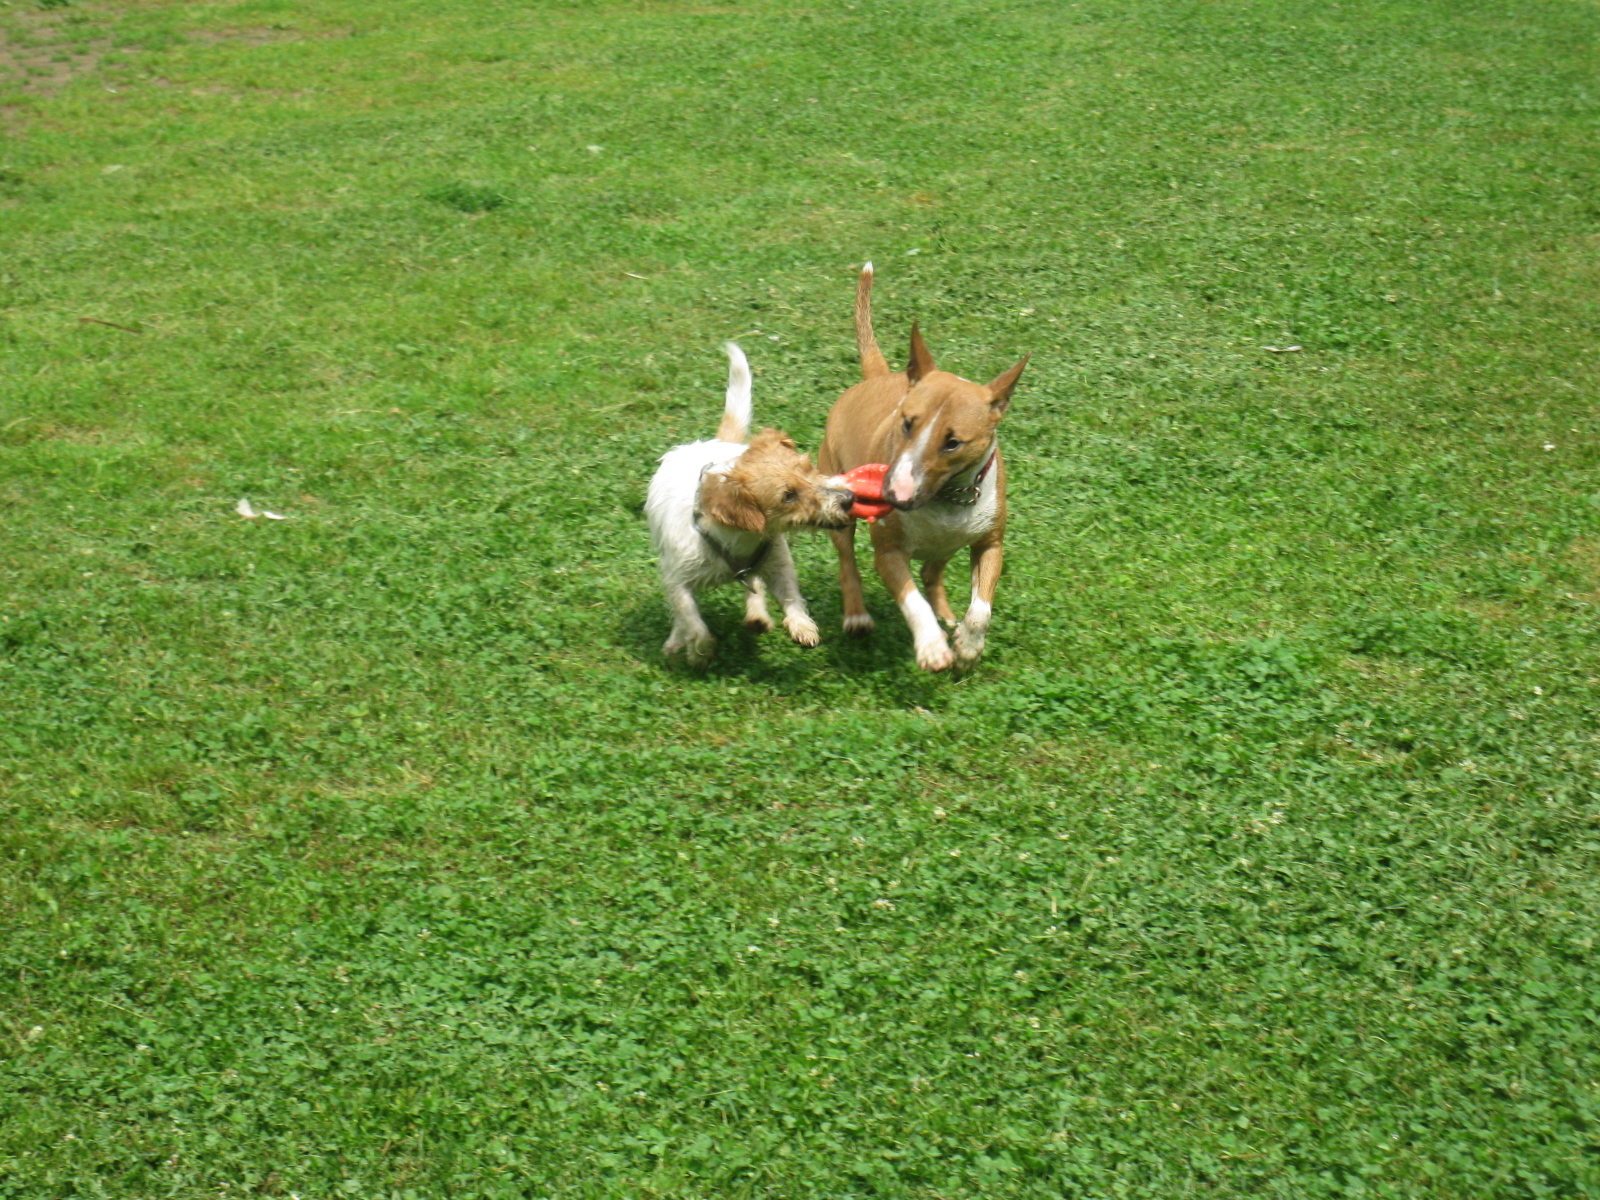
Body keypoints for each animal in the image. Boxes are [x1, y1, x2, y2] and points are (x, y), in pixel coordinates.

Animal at [646, 343, 855, 669]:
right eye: (788, 496)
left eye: (808, 467)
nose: (848, 499)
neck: (737, 538)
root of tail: (713, 442)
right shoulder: (677, 581)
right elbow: (692, 620)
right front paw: (698, 652)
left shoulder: (778, 562)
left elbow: (791, 597)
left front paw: (801, 626)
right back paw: (678, 642)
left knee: (754, 585)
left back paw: (757, 616)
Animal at [818, 264, 1028, 671]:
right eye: (906, 422)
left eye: (953, 442)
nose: (894, 496)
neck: (949, 496)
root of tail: (876, 377)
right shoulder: (888, 552)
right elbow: (912, 601)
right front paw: (932, 646)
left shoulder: (990, 543)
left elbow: (982, 608)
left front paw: (969, 644)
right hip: (838, 498)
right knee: (847, 561)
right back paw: (857, 616)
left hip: (947, 545)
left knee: (932, 574)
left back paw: (948, 617)